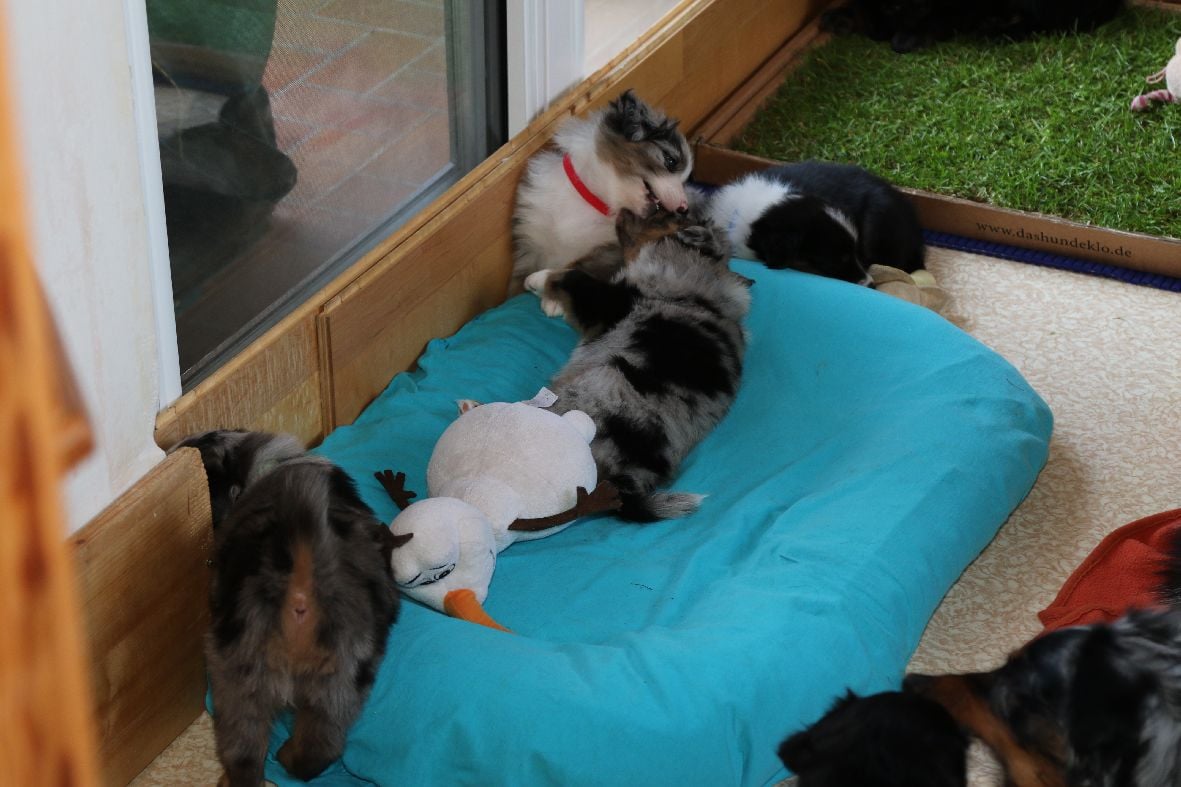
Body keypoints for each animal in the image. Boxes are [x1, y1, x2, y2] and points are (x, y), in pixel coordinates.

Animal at [541, 210, 750, 521]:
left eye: (669, 215)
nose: (623, 210)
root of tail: (626, 484)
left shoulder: (607, 301)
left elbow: (571, 276)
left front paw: (540, 281)